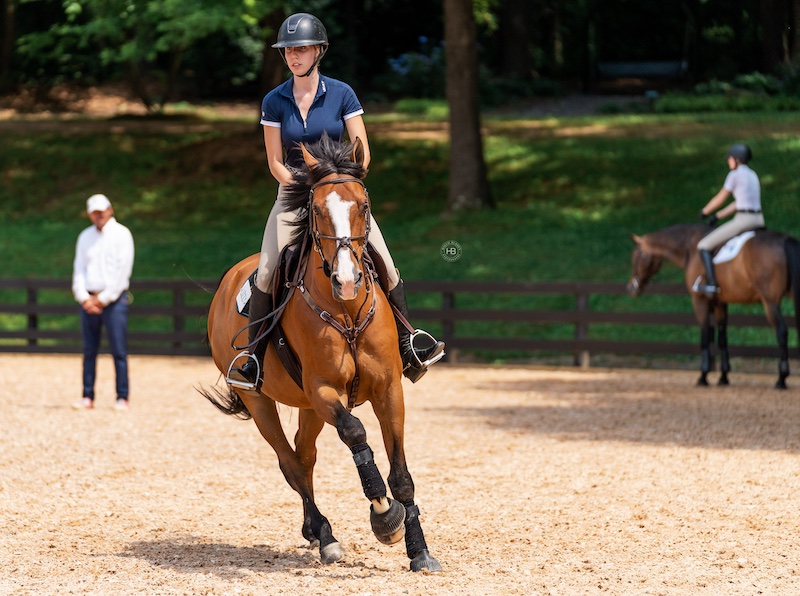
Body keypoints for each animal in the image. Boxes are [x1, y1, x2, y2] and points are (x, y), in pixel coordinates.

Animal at [624, 222, 800, 386]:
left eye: (637, 256)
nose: (631, 288)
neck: (690, 248)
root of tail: (786, 240)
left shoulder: (700, 301)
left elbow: (705, 335)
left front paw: (703, 376)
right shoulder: (720, 303)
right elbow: (722, 338)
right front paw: (723, 377)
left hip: (770, 302)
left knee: (781, 331)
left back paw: (781, 379)